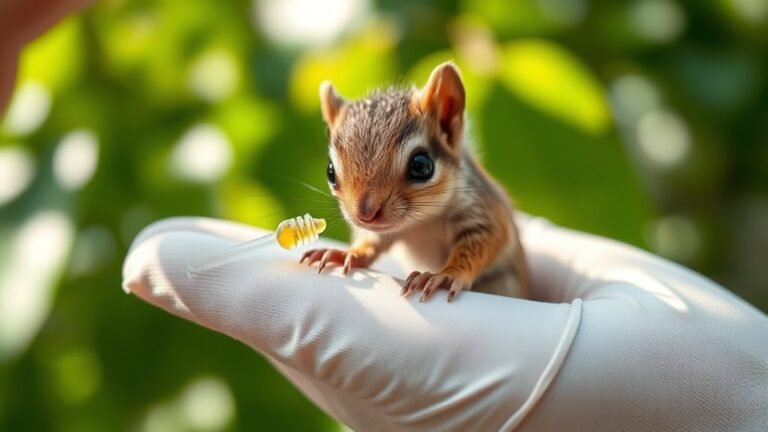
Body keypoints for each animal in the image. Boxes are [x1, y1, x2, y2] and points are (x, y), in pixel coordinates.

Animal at [301, 62, 531, 303]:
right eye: (330, 171)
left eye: (421, 166)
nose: (365, 214)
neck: (421, 223)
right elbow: (373, 241)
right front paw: (348, 253)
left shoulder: (482, 210)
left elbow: (485, 240)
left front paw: (444, 275)